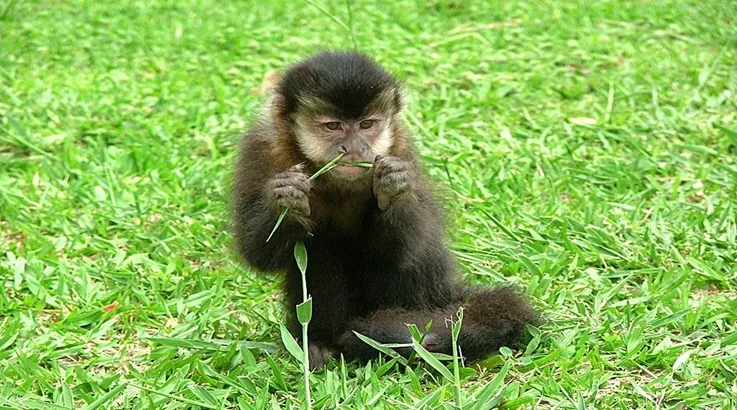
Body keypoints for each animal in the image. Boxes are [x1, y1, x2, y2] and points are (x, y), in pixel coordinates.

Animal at [232, 51, 538, 370]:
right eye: (333, 126)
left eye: (366, 125)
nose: (354, 147)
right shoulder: (263, 146)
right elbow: (258, 253)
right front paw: (286, 198)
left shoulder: (400, 147)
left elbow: (409, 248)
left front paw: (394, 189)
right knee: (320, 248)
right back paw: (319, 342)